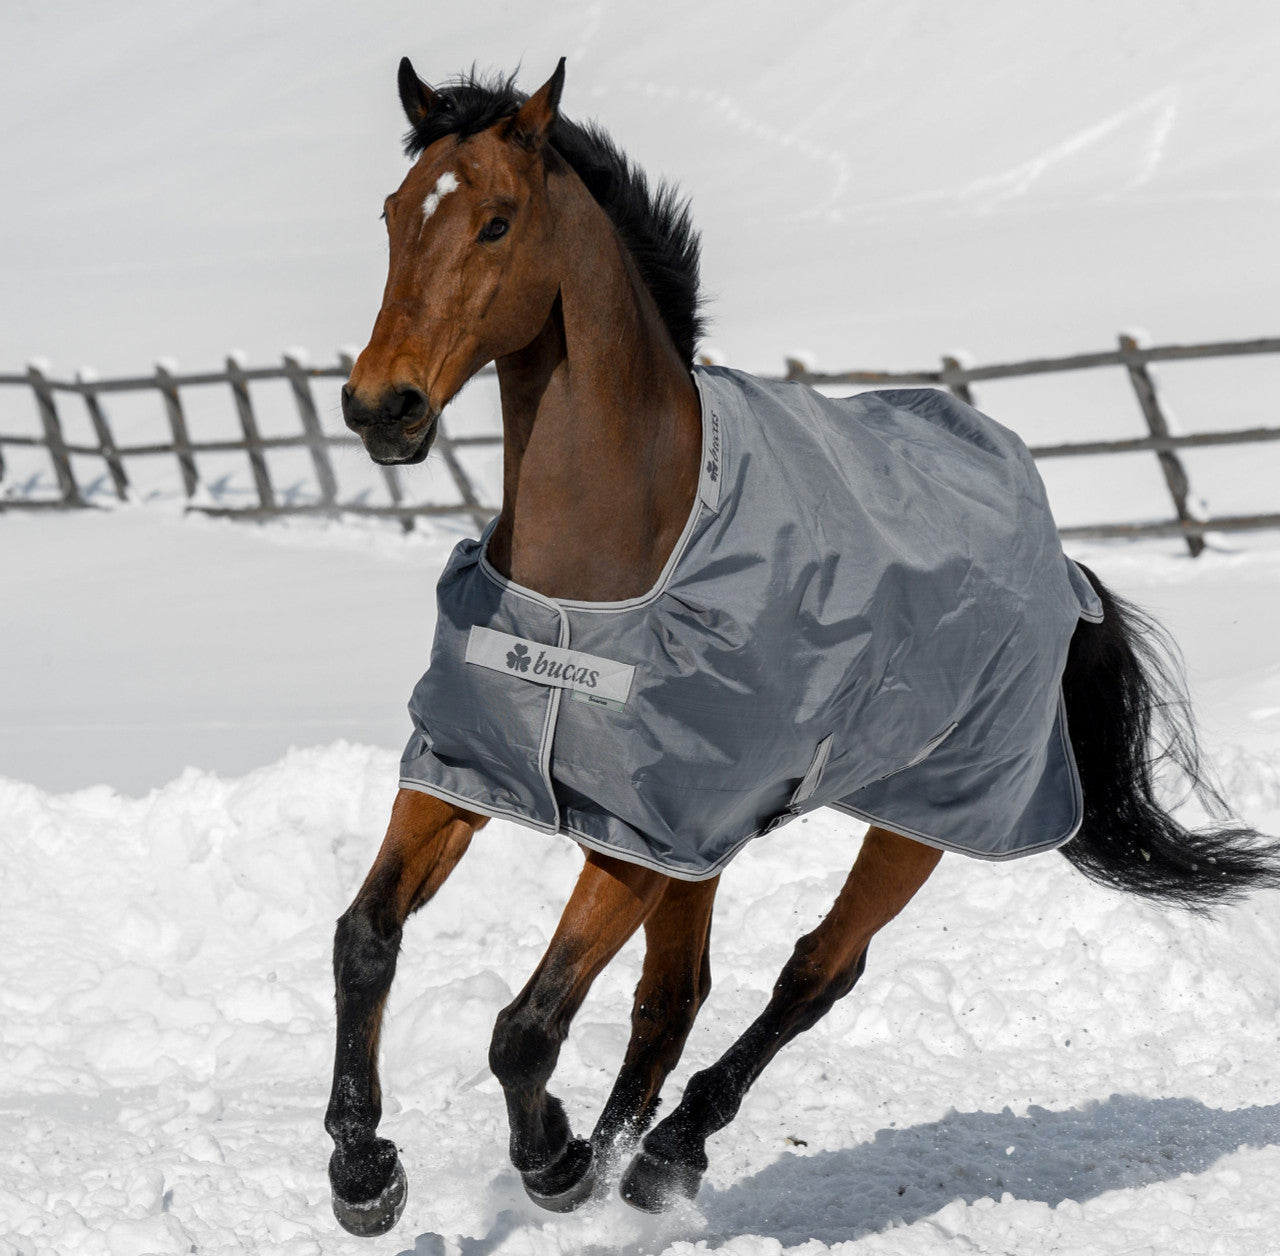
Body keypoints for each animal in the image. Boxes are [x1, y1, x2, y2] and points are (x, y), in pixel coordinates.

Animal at [325, 58, 1280, 1237]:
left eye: (496, 221)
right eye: (393, 215)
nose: (381, 406)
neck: (603, 573)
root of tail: (1062, 564)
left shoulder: (636, 833)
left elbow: (527, 1025)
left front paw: (550, 1163)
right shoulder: (476, 775)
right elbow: (365, 936)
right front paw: (364, 1171)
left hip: (922, 817)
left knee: (815, 972)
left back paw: (660, 1159)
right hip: (711, 840)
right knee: (672, 997)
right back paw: (625, 1160)